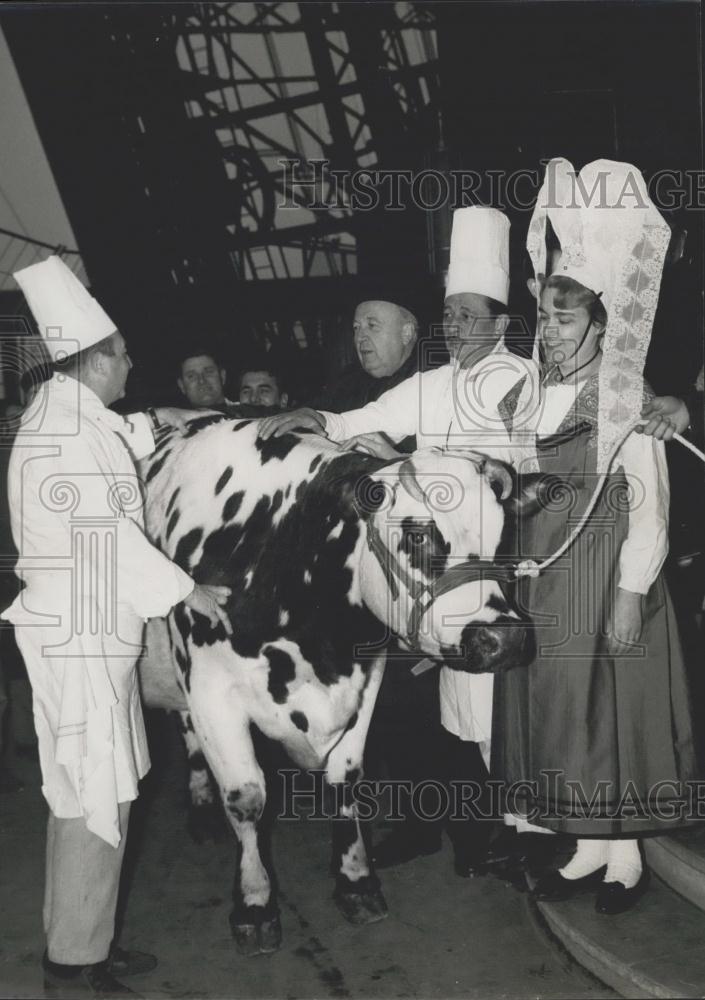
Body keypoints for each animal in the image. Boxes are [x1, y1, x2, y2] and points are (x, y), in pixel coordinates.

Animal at [138, 414, 532, 952]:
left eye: (502, 536)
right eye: (418, 536)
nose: (505, 639)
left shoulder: (365, 679)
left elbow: (346, 779)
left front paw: (355, 880)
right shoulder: (211, 688)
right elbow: (247, 797)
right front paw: (255, 904)